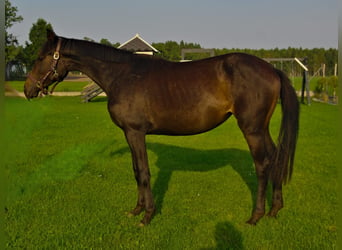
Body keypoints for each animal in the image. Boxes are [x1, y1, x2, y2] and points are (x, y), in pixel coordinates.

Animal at [24, 29, 300, 227]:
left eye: (41, 57)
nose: (28, 90)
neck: (122, 75)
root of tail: (272, 69)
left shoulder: (136, 132)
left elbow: (145, 173)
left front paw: (147, 216)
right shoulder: (129, 134)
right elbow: (136, 171)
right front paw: (135, 210)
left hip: (251, 129)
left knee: (262, 164)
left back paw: (256, 216)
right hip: (261, 129)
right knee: (275, 158)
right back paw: (275, 209)